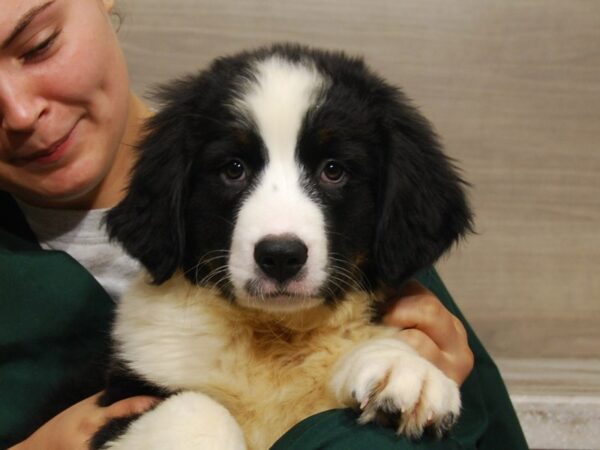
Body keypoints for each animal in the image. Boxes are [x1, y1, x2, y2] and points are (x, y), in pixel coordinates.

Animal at [98, 43, 474, 450]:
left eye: (333, 170)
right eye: (233, 168)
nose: (280, 257)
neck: (277, 339)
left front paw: (401, 367)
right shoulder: (128, 393)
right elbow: (197, 408)